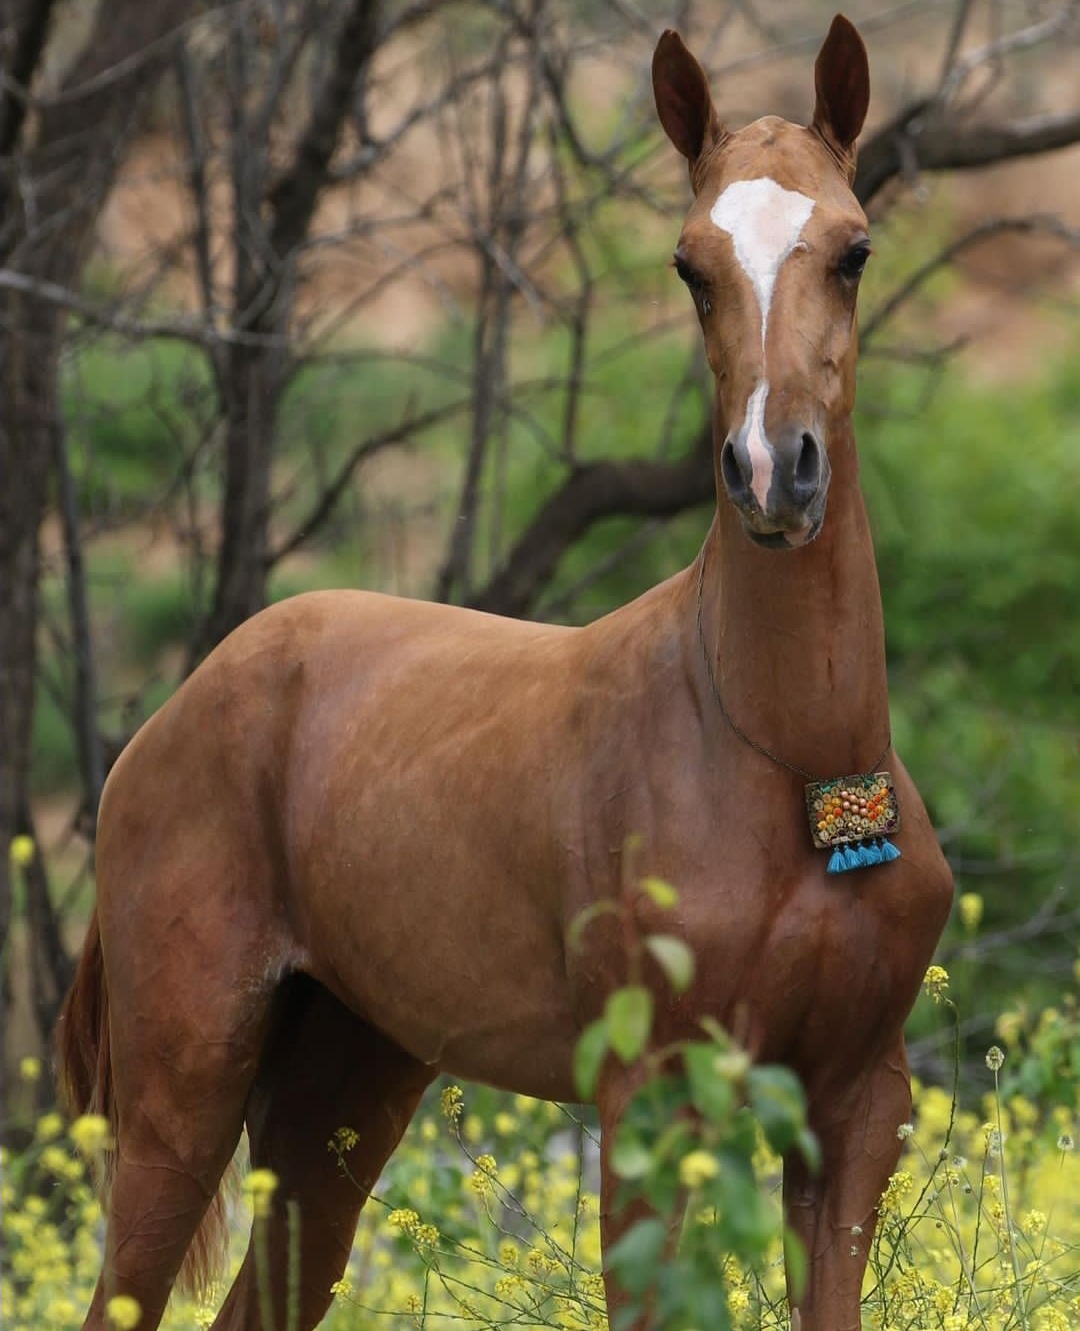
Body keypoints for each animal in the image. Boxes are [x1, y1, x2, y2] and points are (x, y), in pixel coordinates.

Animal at [57, 14, 953, 1330]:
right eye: (689, 265)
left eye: (854, 248)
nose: (770, 472)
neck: (798, 765)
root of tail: (170, 719)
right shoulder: (651, 1097)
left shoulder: (854, 1105)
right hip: (187, 1084)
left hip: (344, 1084)